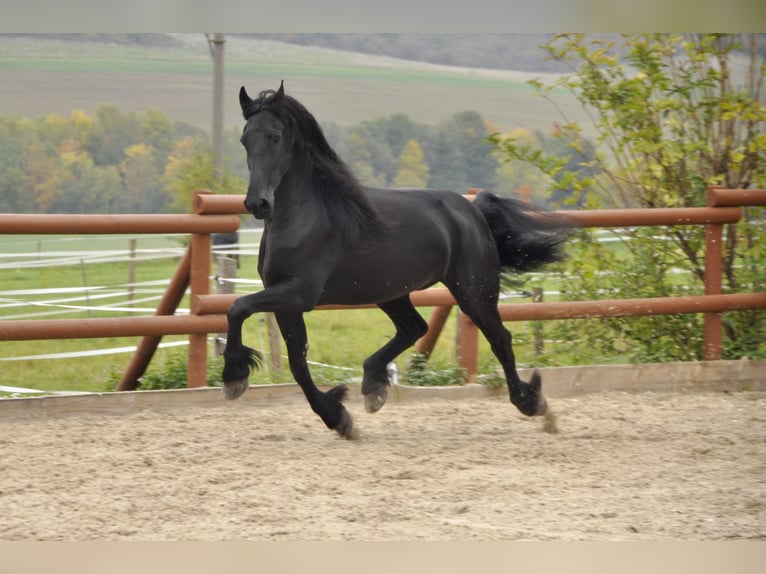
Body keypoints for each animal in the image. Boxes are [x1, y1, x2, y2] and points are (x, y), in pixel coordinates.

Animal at [222, 81, 568, 439]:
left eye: (275, 136)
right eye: (245, 139)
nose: (258, 203)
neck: (305, 215)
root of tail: (472, 210)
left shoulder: (299, 292)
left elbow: (238, 308)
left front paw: (235, 376)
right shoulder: (286, 301)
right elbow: (296, 361)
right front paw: (337, 417)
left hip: (474, 290)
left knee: (499, 339)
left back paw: (533, 404)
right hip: (390, 291)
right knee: (415, 327)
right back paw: (374, 385)